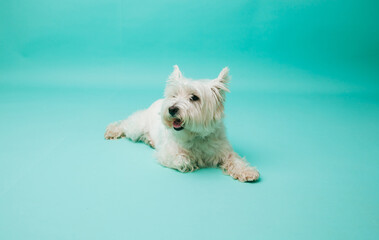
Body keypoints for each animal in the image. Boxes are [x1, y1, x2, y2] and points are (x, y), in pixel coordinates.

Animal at [105, 65, 260, 182]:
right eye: (174, 95)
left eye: (194, 97)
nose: (171, 109)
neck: (196, 135)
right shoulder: (168, 153)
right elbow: (183, 159)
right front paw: (194, 161)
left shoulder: (224, 150)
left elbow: (236, 160)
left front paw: (247, 171)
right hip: (136, 126)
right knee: (126, 124)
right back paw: (112, 130)